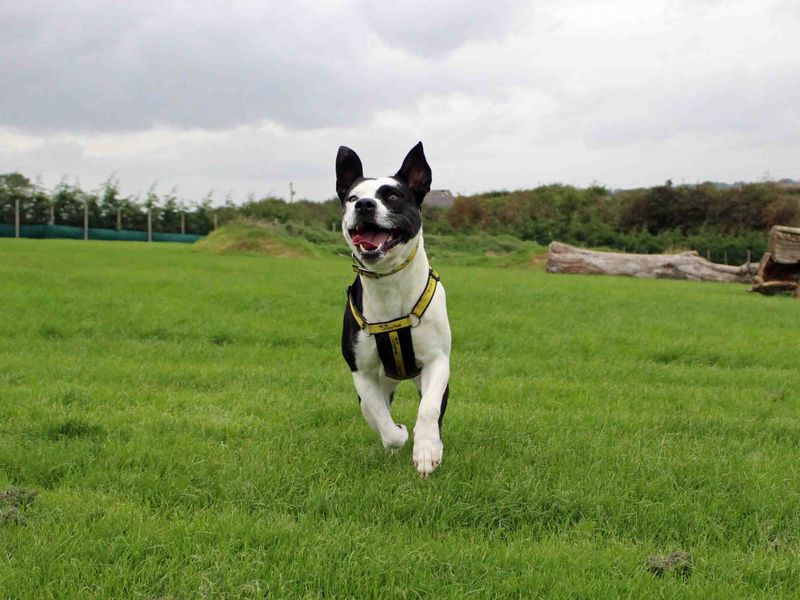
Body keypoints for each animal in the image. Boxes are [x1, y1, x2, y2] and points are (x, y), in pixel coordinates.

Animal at [334, 142, 454, 478]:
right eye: (351, 198)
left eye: (392, 196)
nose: (364, 205)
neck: (389, 283)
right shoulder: (361, 371)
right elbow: (380, 418)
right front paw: (398, 434)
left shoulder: (437, 361)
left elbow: (428, 409)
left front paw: (426, 451)